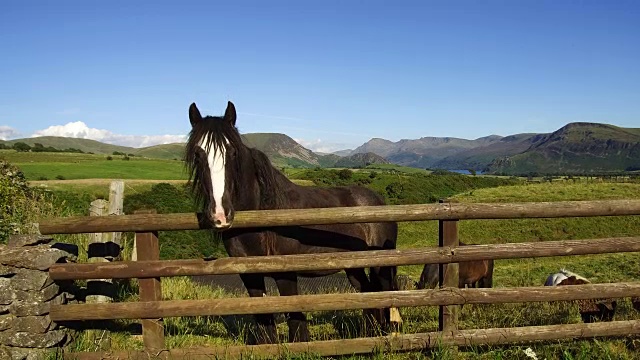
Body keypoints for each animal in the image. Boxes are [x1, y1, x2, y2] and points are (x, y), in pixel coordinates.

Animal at [182, 100, 398, 344]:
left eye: (233, 152)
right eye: (198, 154)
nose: (220, 215)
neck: (264, 215)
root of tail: (378, 200)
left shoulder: (286, 273)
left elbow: (295, 319)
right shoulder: (249, 274)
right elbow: (263, 318)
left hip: (380, 264)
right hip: (354, 266)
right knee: (368, 294)